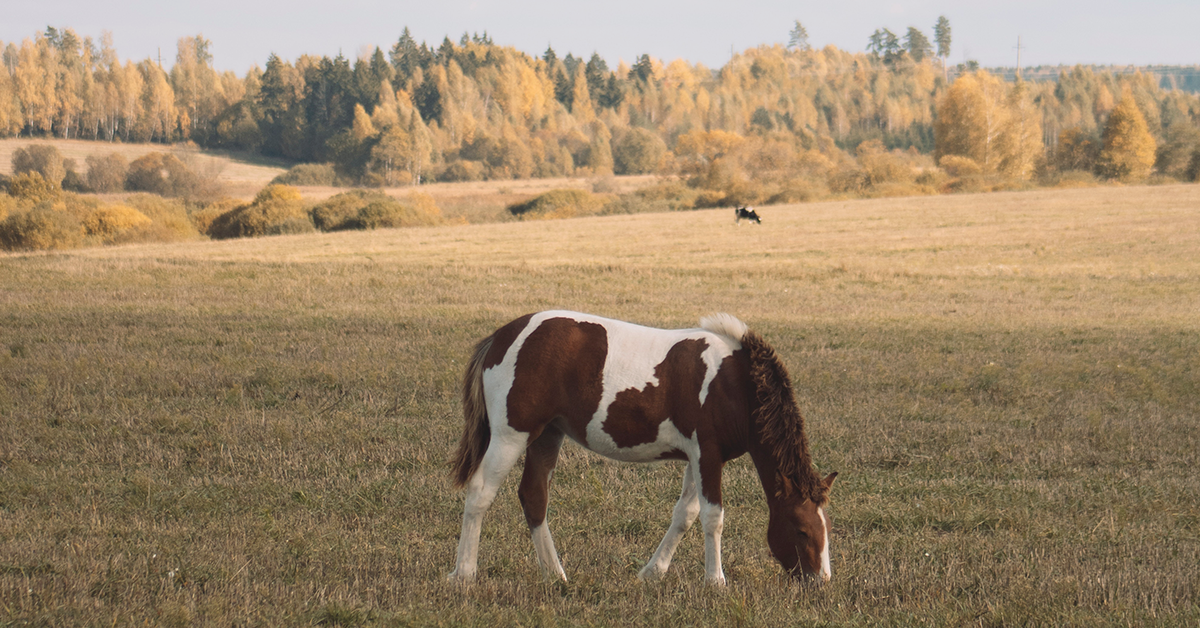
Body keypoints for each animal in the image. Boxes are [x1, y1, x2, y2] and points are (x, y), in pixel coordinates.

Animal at [448, 311, 836, 585]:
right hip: (511, 435)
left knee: (534, 496)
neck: (733, 382)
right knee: (480, 493)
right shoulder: (708, 456)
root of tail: (501, 337)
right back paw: (464, 573)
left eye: (825, 529)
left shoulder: (697, 458)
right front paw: (715, 582)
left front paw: (653, 572)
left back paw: (556, 575)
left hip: (547, 435)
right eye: (801, 530)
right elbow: (713, 518)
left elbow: (685, 515)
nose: (821, 581)